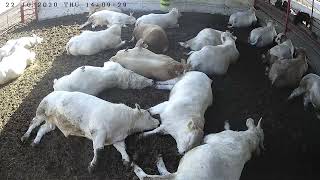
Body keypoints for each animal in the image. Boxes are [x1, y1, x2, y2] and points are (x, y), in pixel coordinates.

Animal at [20, 91, 159, 173]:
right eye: (148, 115)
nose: (158, 122)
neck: (124, 126)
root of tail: (51, 93)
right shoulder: (98, 131)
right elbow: (98, 149)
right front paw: (92, 166)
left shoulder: (117, 138)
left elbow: (122, 148)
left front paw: (126, 160)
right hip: (41, 111)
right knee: (34, 122)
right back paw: (25, 137)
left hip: (52, 122)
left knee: (43, 128)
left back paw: (35, 142)